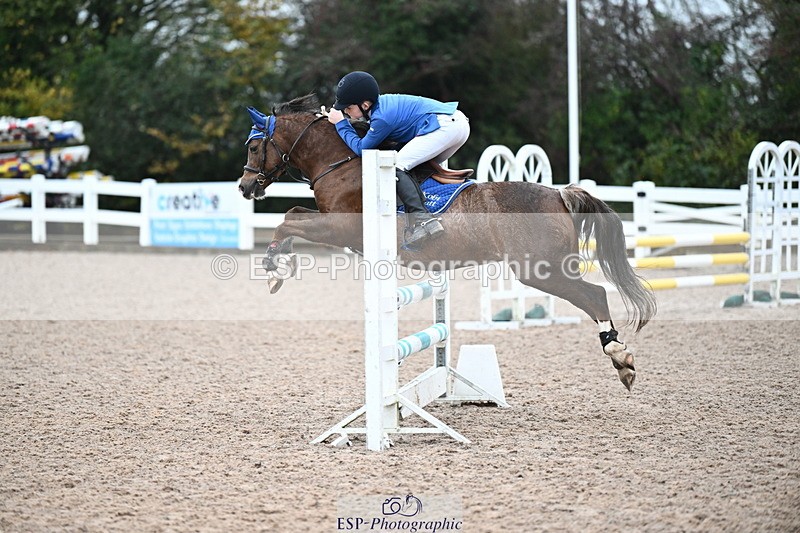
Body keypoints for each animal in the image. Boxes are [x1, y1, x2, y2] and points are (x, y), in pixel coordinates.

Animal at [237, 94, 657, 391]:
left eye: (254, 147)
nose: (244, 187)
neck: (342, 163)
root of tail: (559, 194)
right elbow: (292, 214)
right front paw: (280, 265)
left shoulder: (341, 229)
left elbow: (287, 221)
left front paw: (274, 268)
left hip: (539, 270)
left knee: (594, 295)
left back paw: (621, 359)